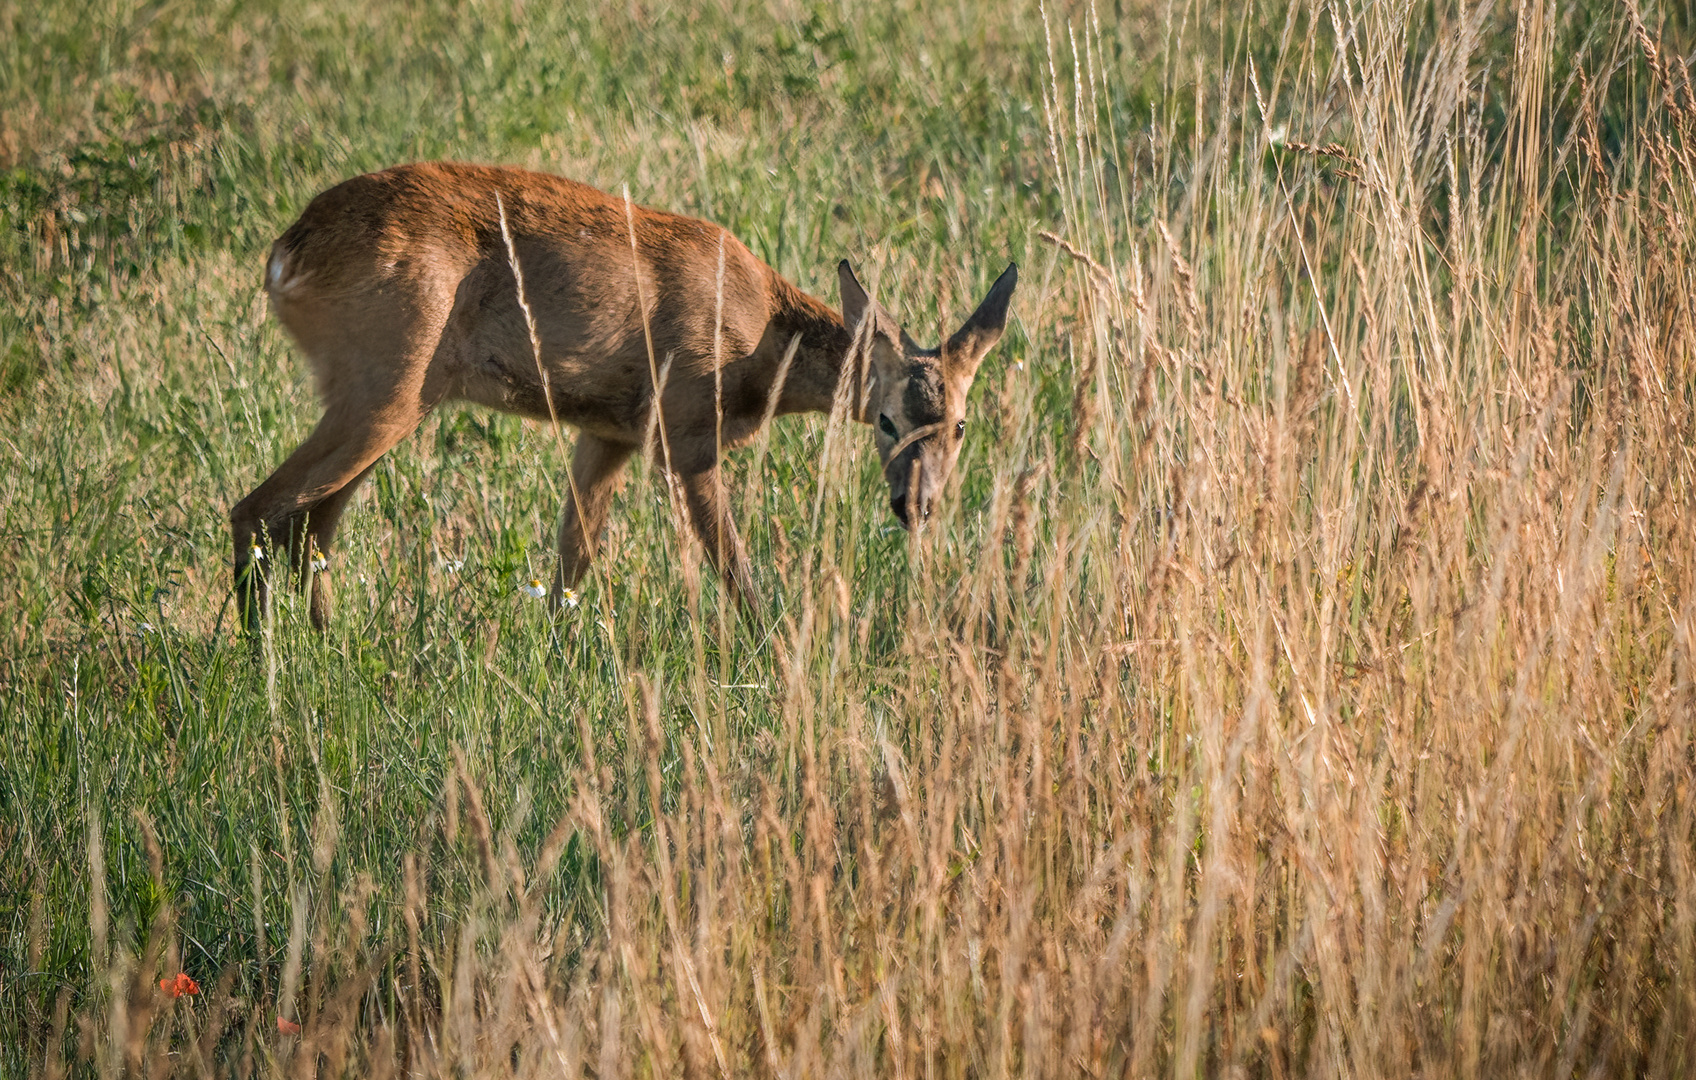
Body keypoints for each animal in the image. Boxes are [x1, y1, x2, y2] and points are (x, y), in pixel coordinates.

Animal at [232, 163, 1010, 627]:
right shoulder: (683, 429)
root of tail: (286, 253)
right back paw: (257, 666)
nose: (916, 506)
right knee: (260, 509)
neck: (758, 342)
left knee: (311, 528)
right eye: (885, 420)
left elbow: (570, 567)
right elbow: (735, 568)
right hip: (387, 378)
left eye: (961, 426)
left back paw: (327, 645)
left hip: (380, 391)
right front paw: (774, 651)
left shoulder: (607, 432)